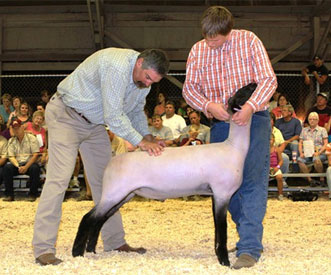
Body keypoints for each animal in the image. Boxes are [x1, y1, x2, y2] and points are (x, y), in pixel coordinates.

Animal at [73, 83, 260, 266]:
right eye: (242, 92)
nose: (255, 83)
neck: (233, 148)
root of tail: (110, 163)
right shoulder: (222, 193)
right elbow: (222, 229)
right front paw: (225, 261)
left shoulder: (216, 194)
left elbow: (217, 228)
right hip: (113, 193)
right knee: (88, 218)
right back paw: (77, 253)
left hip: (123, 195)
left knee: (99, 219)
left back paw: (91, 250)